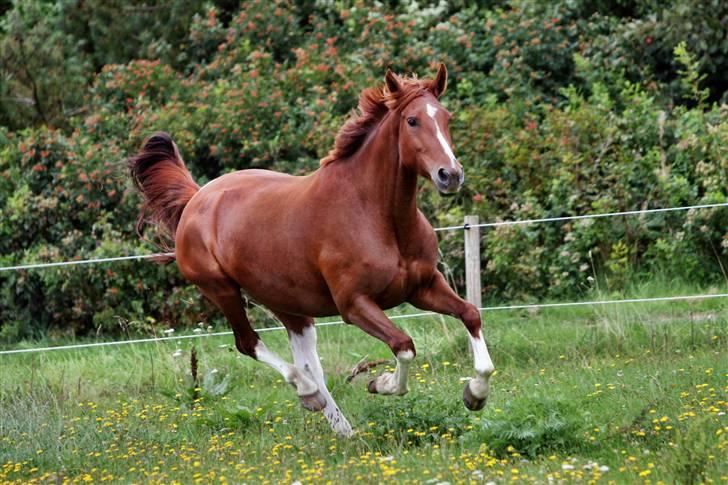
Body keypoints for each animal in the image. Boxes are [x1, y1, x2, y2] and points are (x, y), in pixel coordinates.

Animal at [129, 64, 494, 434]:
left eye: (447, 118)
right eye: (412, 120)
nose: (450, 175)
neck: (376, 215)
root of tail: (197, 198)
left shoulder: (423, 287)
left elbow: (470, 314)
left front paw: (475, 395)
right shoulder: (354, 304)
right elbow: (403, 346)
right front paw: (381, 384)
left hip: (286, 302)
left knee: (308, 363)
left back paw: (341, 428)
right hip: (222, 291)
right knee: (252, 345)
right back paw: (309, 395)